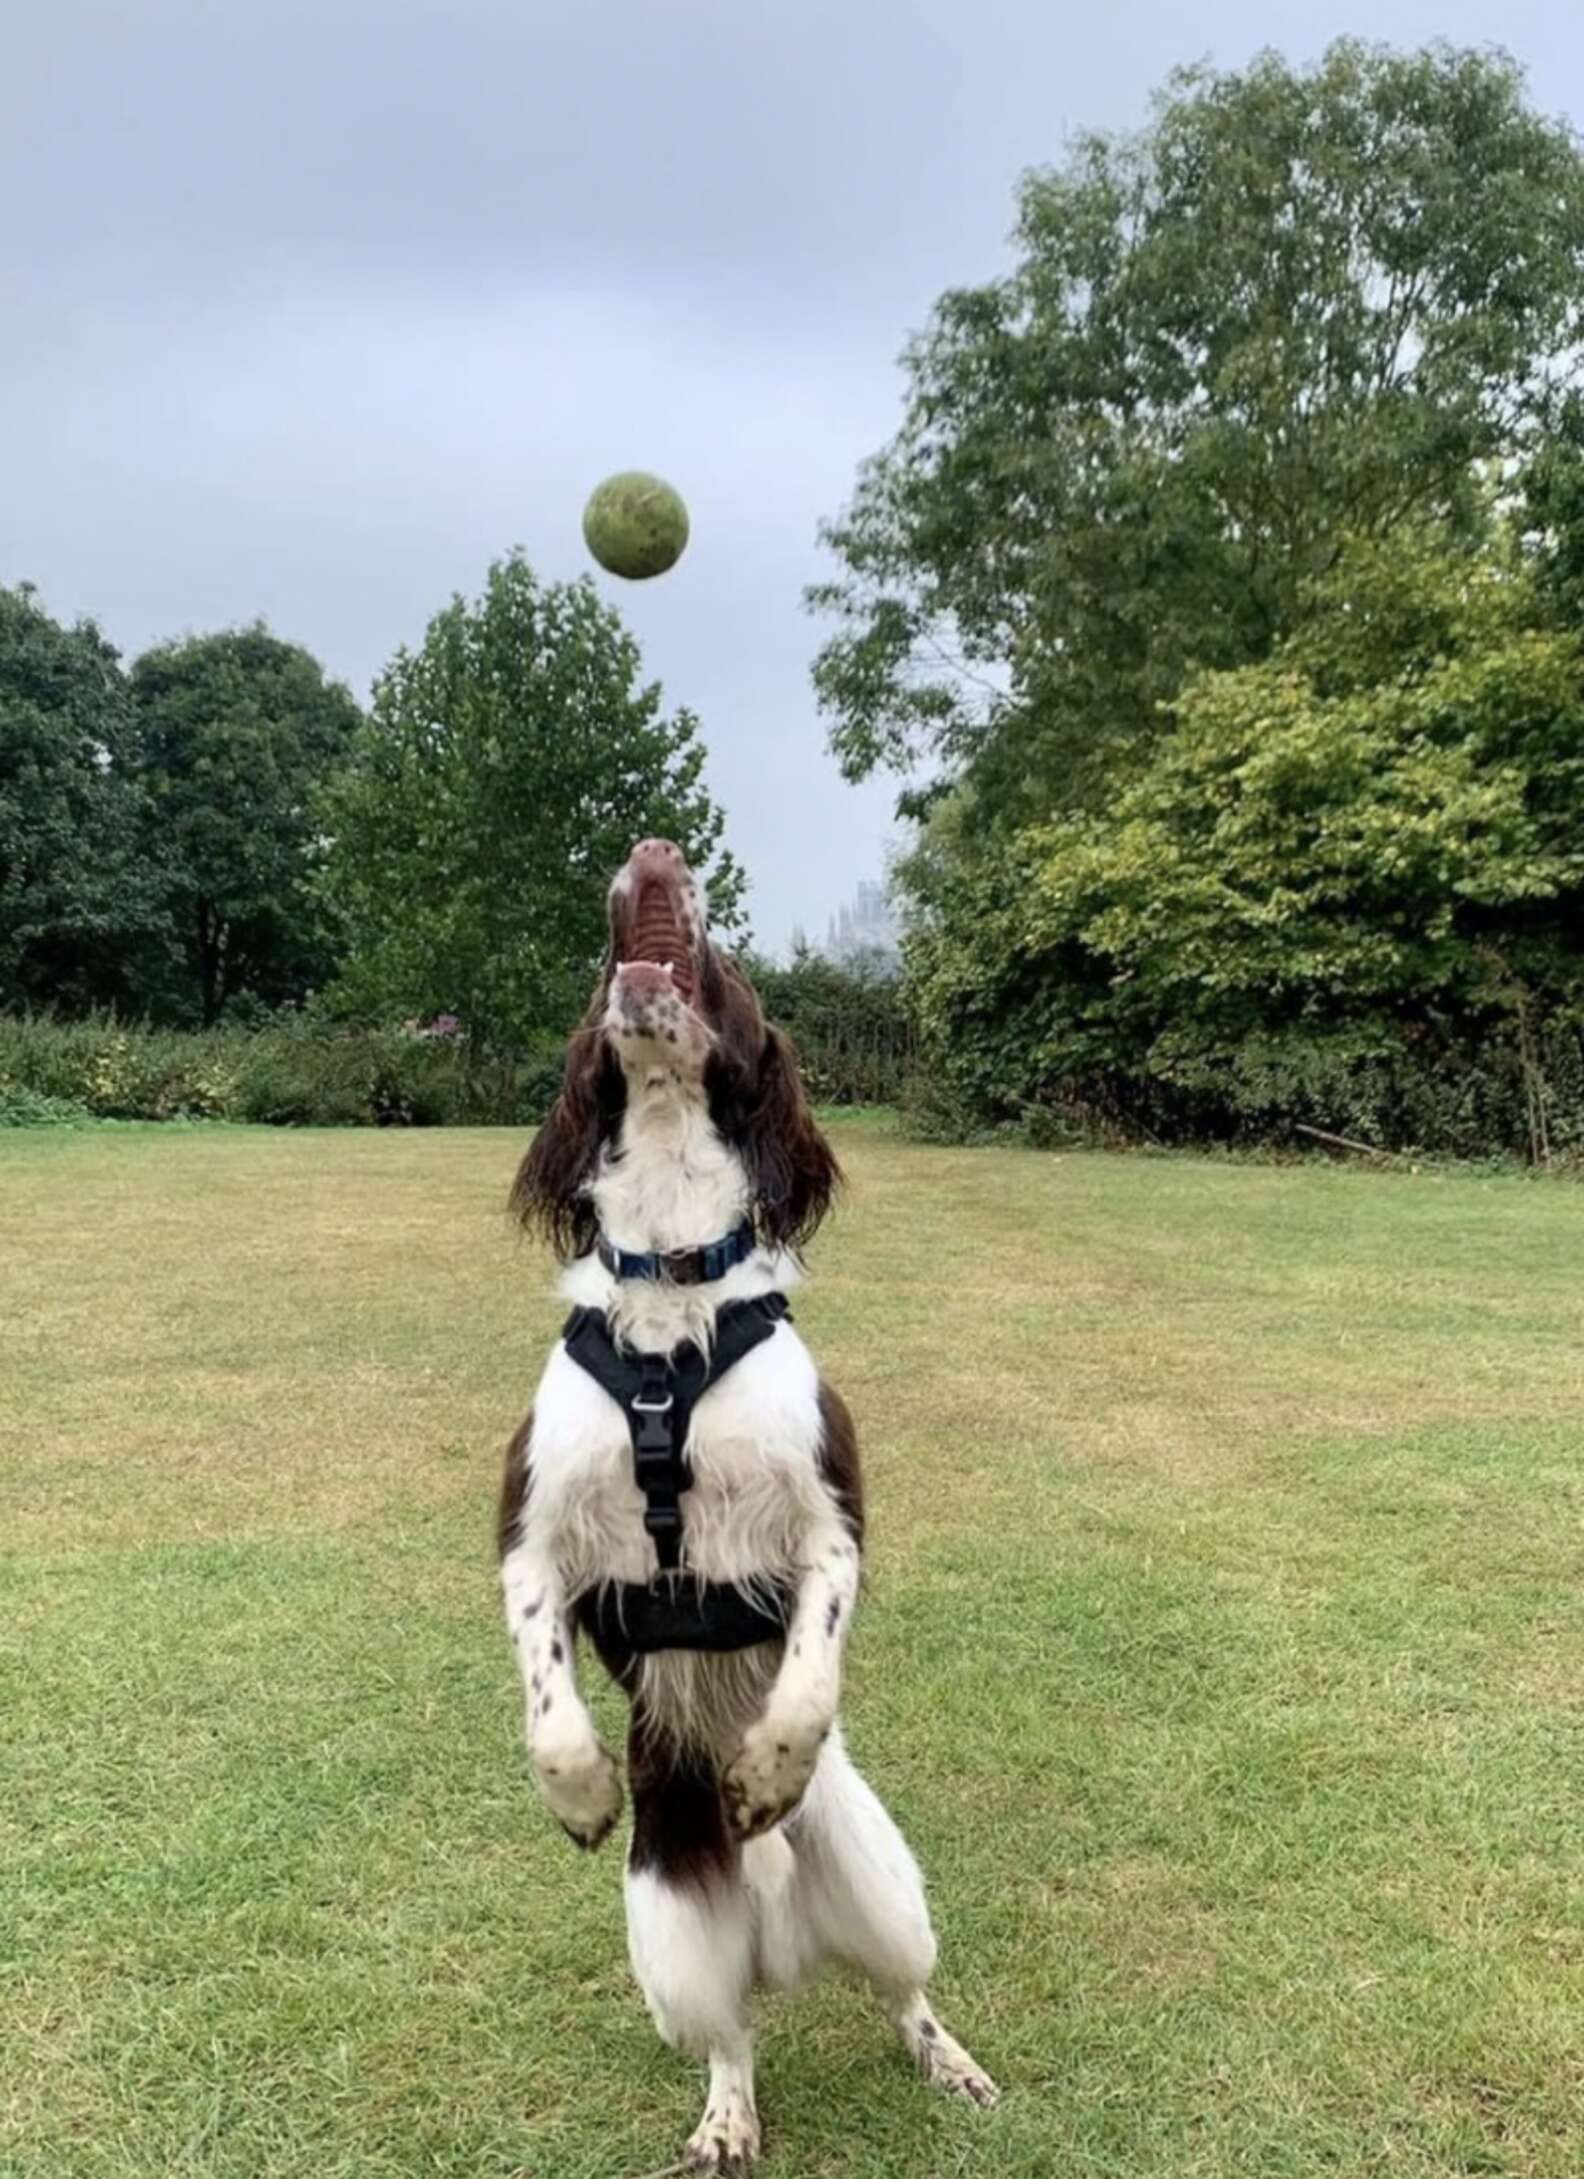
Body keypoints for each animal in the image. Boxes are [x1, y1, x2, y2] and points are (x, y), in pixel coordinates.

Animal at [498, 841, 993, 2170]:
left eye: (724, 961)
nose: (655, 849)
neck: (672, 1296)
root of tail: (776, 1929)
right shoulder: (526, 1531)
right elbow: (547, 1690)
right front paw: (579, 1792)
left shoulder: (833, 1519)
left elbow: (809, 1674)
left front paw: (764, 1770)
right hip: (670, 1946)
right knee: (733, 2039)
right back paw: (726, 2120)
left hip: (887, 1884)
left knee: (905, 1991)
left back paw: (951, 2061)